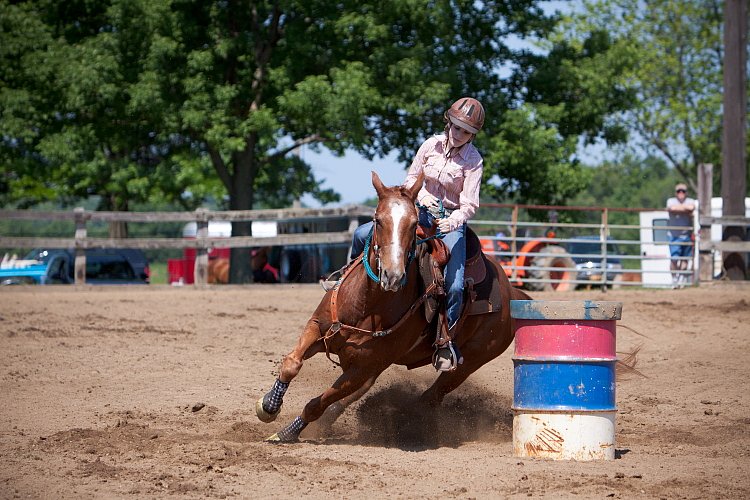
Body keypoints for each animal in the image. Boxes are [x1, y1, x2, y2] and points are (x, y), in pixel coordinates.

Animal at [256, 172, 532, 442]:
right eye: (377, 220)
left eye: (413, 223)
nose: (393, 276)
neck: (365, 304)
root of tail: (512, 292)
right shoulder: (319, 328)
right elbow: (292, 363)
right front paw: (269, 406)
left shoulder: (365, 367)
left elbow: (318, 403)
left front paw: (287, 432)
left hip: (470, 361)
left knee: (430, 397)